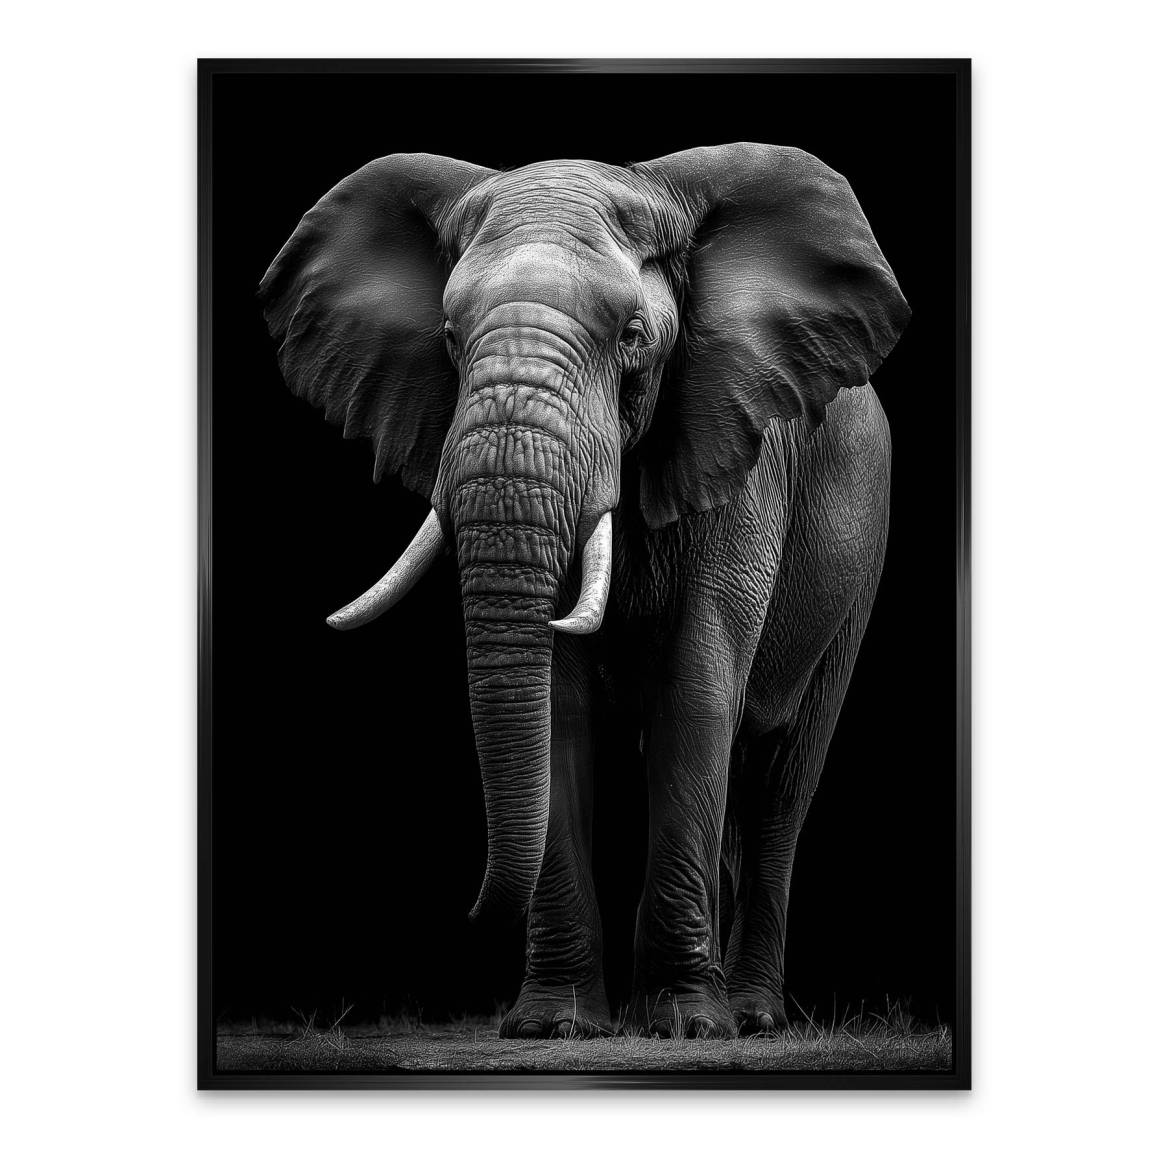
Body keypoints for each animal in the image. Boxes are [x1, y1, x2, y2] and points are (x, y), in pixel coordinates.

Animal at [260, 143, 909, 1039]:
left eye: (633, 337)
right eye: (450, 339)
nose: (464, 912)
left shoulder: (737, 452)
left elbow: (697, 687)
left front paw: (686, 1027)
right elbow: (558, 706)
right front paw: (553, 1025)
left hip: (861, 548)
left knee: (781, 777)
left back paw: (749, 1015)